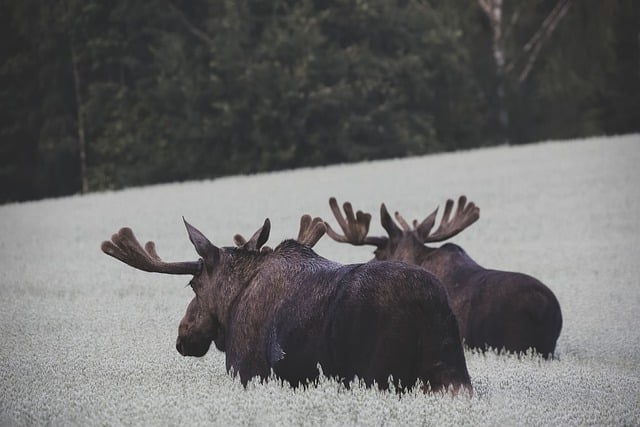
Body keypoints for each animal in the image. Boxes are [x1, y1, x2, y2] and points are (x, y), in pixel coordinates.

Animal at [102, 214, 472, 394]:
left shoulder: (248, 371)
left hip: (379, 374)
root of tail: (428, 306)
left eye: (193, 284)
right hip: (451, 373)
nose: (184, 336)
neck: (233, 304)